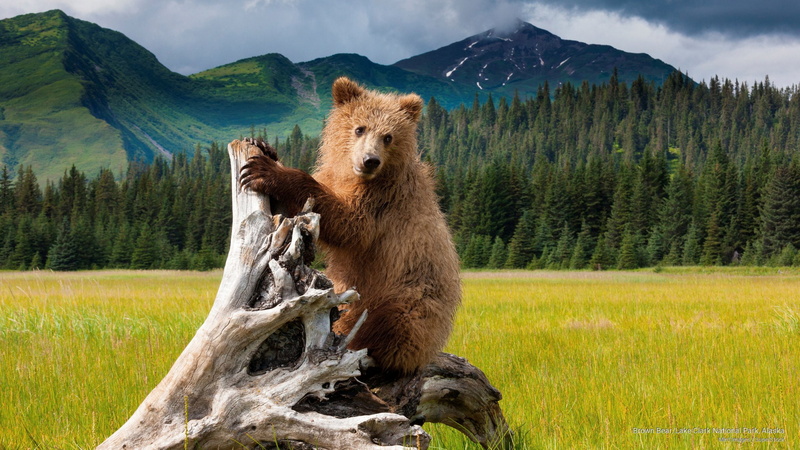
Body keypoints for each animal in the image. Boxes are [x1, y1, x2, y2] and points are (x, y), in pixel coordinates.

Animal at [240, 77, 461, 374]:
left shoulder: (382, 200)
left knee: (393, 324)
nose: (370, 160)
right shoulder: (335, 177)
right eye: (359, 128)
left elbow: (351, 226)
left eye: (388, 136)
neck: (354, 175)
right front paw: (263, 147)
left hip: (411, 295)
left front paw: (268, 171)